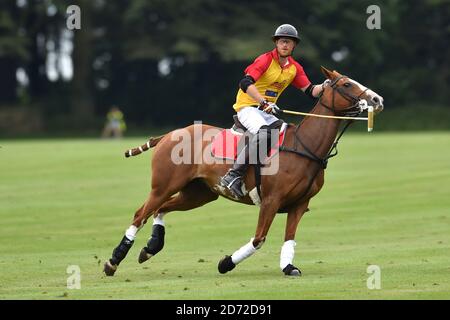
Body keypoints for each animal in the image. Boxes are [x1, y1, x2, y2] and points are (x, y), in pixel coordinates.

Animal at [104, 67, 384, 278]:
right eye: (346, 84)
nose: (377, 100)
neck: (304, 146)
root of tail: (168, 135)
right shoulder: (271, 200)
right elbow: (258, 238)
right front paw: (225, 263)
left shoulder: (300, 204)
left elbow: (289, 239)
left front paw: (288, 267)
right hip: (163, 185)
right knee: (140, 214)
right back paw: (113, 261)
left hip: (199, 194)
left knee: (161, 209)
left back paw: (150, 248)